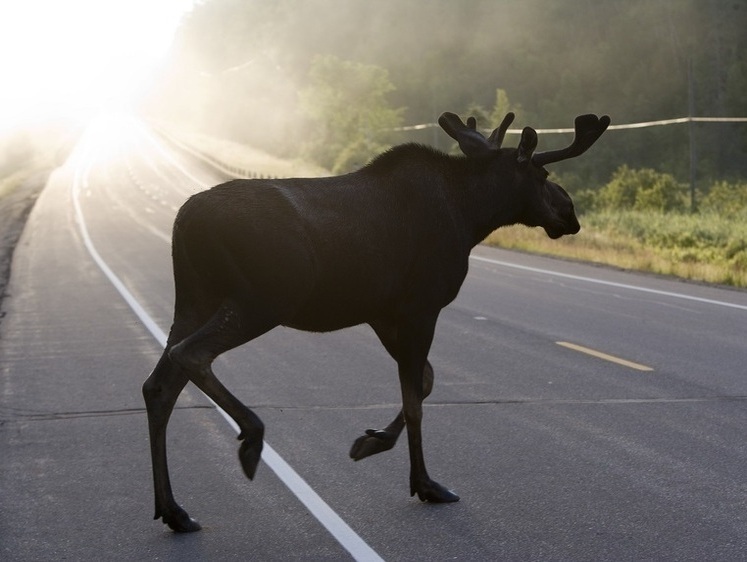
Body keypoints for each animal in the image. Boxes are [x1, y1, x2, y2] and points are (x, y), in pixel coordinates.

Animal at [143, 108, 612, 528]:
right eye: (542, 176)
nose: (570, 213)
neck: (471, 215)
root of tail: (183, 221)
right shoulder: (421, 305)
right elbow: (415, 399)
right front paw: (425, 484)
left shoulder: (384, 313)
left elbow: (424, 382)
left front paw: (371, 441)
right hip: (261, 299)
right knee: (191, 354)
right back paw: (251, 438)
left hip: (194, 300)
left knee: (158, 386)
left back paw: (174, 510)